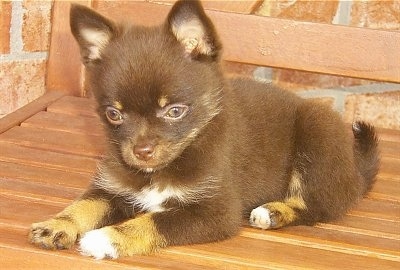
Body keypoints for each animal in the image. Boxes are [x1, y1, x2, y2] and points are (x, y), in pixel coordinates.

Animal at [28, 0, 378, 260]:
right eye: (114, 114)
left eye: (175, 111)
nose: (141, 152)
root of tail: (354, 171)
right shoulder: (113, 187)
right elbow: (86, 204)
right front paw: (56, 224)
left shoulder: (215, 212)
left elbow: (156, 220)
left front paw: (106, 238)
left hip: (318, 135)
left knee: (318, 205)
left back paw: (274, 212)